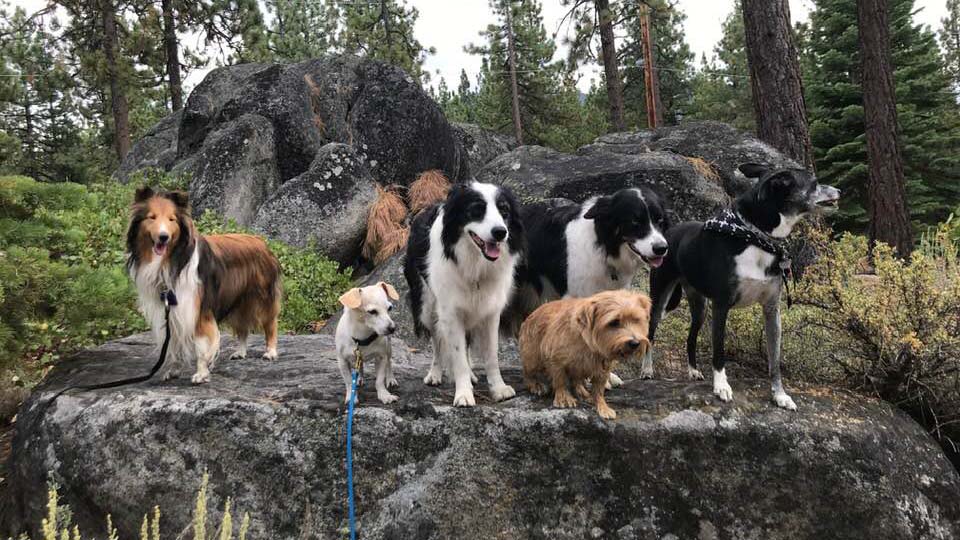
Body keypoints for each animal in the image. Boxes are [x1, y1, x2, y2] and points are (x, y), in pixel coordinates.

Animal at [126, 188, 282, 382]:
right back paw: (240, 352)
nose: (163, 237)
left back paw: (270, 352)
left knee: (270, 324)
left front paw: (201, 373)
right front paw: (174, 370)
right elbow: (174, 345)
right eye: (152, 217)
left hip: (261, 298)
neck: (172, 261)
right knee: (243, 329)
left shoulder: (198, 310)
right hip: (237, 301)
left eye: (172, 219)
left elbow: (202, 345)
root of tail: (260, 241)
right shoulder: (170, 312)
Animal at [520, 288, 648, 420]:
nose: (635, 343)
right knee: (528, 374)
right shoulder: (555, 359)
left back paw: (583, 392)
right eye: (614, 322)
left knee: (577, 380)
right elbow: (560, 380)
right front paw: (563, 398)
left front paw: (602, 406)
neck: (588, 343)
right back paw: (536, 385)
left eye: (636, 320)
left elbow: (598, 390)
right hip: (532, 359)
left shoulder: (603, 367)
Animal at [644, 163, 840, 410]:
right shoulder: (721, 305)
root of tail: (667, 236)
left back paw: (693, 371)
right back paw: (647, 369)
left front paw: (780, 395)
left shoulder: (772, 310)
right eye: (814, 183)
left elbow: (775, 360)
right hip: (659, 298)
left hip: (700, 306)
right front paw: (721, 387)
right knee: (650, 333)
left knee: (691, 337)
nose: (839, 191)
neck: (757, 238)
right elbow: (719, 352)